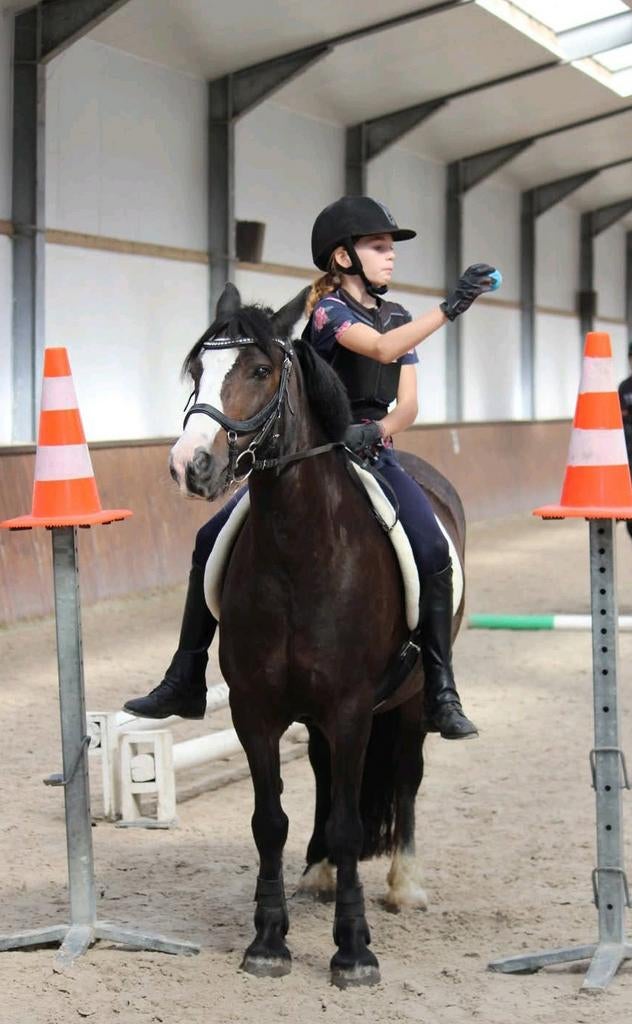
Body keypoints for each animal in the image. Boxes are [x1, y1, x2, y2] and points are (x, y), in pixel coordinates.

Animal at [169, 282, 466, 987]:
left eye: (259, 370)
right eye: (196, 372)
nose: (191, 465)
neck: (297, 552)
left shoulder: (353, 706)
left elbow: (353, 823)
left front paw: (353, 951)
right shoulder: (255, 709)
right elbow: (270, 820)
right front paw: (268, 940)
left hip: (408, 700)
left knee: (406, 775)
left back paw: (404, 885)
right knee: (328, 778)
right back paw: (322, 873)